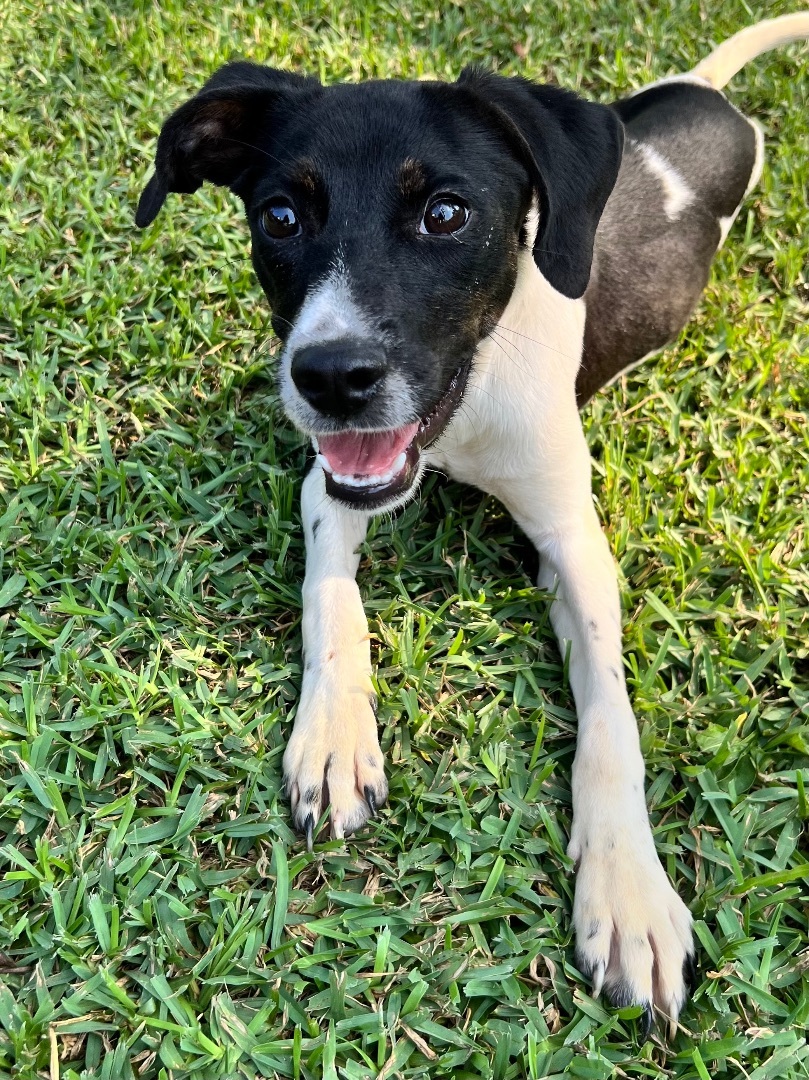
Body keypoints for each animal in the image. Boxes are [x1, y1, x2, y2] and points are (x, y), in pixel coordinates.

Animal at [133, 14, 807, 1028]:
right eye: (279, 218)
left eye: (445, 214)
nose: (328, 378)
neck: (469, 403)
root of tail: (706, 90)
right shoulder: (332, 486)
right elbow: (332, 604)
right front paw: (334, 735)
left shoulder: (573, 541)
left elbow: (610, 715)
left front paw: (627, 891)